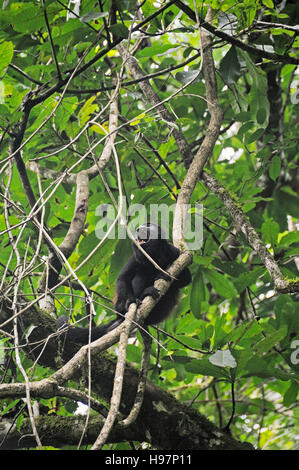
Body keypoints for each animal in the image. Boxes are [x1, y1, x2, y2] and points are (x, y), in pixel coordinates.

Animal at [56, 222, 192, 344]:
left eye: (148, 225)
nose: (139, 228)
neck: (154, 256)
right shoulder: (135, 257)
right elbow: (123, 278)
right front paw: (131, 301)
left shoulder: (174, 252)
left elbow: (187, 279)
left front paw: (162, 274)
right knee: (140, 276)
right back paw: (140, 297)